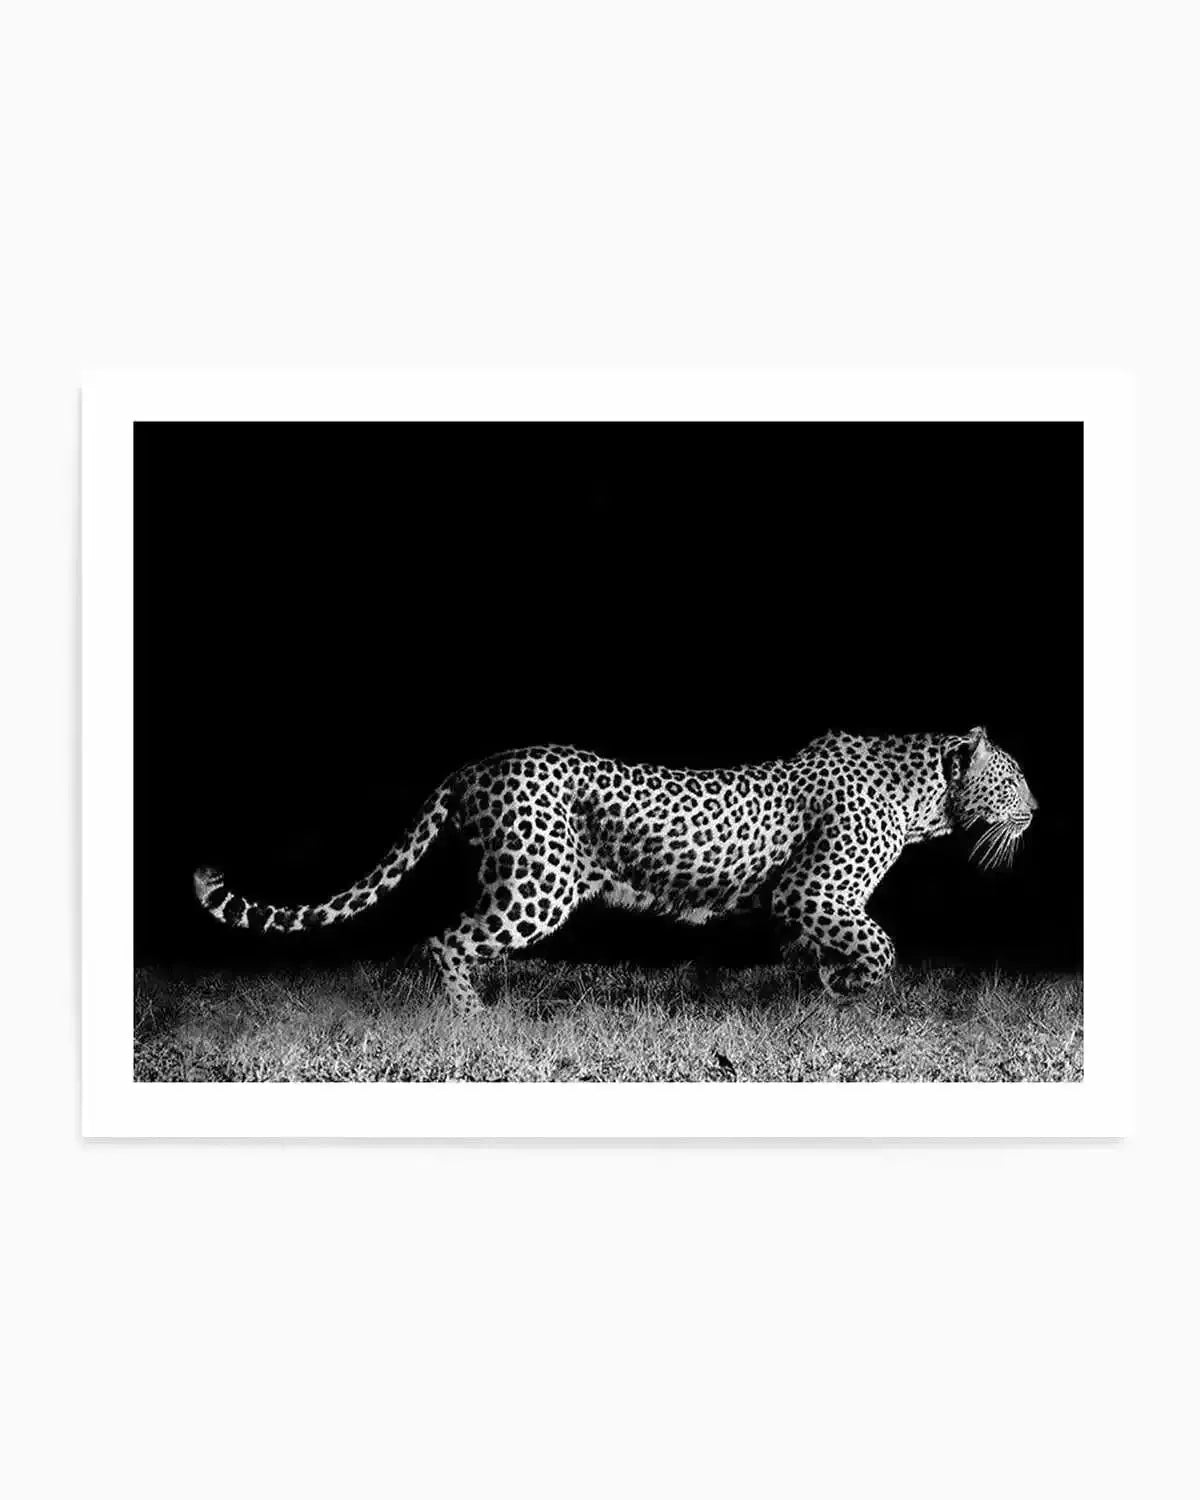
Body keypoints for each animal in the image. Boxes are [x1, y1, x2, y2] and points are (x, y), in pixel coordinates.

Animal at [193, 725, 1037, 1012]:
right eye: (1015, 779)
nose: (1038, 807)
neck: (924, 798)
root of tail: (474, 765)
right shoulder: (812, 891)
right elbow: (880, 944)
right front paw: (853, 991)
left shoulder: (807, 905)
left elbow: (827, 950)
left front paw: (825, 987)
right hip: (537, 885)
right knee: (444, 940)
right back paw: (472, 1021)